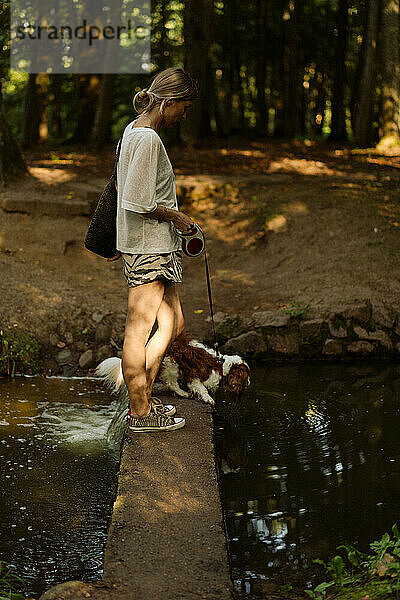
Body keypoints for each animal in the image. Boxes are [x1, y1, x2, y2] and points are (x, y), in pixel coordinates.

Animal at [95, 330, 250, 406]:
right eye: (246, 378)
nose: (249, 383)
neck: (220, 365)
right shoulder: (193, 377)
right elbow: (202, 389)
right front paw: (208, 399)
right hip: (172, 365)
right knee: (171, 383)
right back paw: (183, 393)